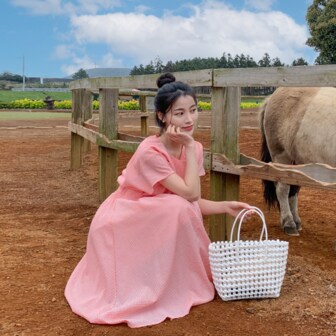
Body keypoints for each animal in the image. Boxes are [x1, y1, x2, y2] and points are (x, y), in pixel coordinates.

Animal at [260, 87, 336, 236]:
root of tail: (271, 98)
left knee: (293, 189)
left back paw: (296, 221)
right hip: (282, 158)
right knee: (283, 189)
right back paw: (289, 224)